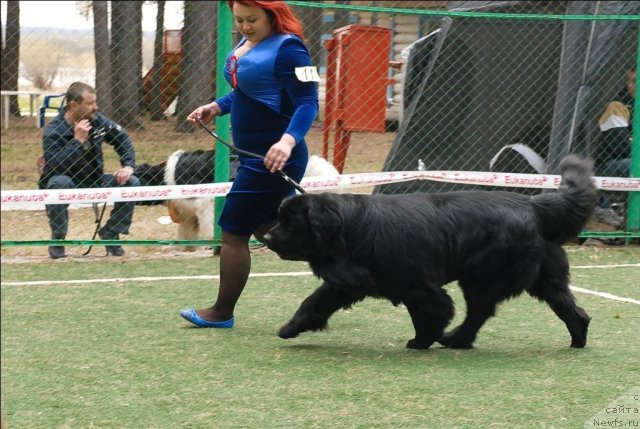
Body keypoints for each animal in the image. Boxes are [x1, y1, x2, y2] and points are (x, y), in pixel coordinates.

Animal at [262, 155, 596, 350]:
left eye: (290, 223)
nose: (266, 237)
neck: (348, 229)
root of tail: (533, 204)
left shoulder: (415, 283)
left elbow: (435, 310)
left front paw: (422, 340)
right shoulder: (351, 281)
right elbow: (316, 301)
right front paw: (292, 327)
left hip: (484, 277)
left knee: (478, 311)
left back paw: (456, 340)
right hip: (544, 277)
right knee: (569, 307)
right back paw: (577, 339)